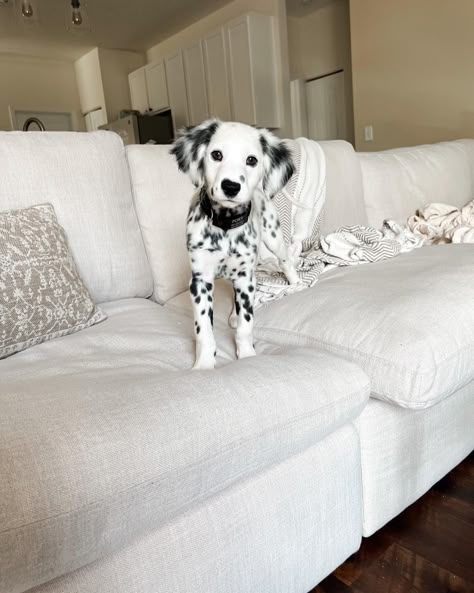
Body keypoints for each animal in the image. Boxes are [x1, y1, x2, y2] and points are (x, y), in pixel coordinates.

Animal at [171, 119, 300, 370]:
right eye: (216, 155)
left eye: (251, 160)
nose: (230, 187)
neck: (225, 225)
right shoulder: (200, 280)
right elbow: (204, 330)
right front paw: (203, 364)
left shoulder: (245, 276)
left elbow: (246, 325)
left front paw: (248, 355)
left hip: (272, 236)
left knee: (286, 261)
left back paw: (297, 282)